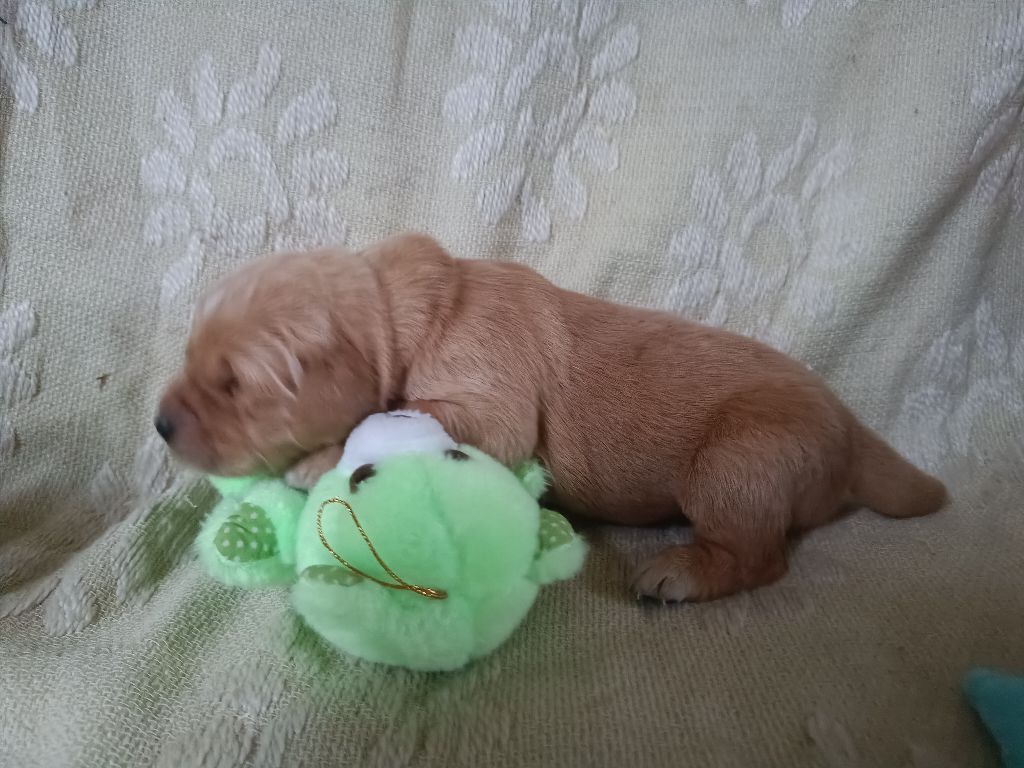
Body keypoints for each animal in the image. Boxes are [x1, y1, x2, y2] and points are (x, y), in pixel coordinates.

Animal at [156, 233, 947, 602]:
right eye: (189, 356)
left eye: (233, 385)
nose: (160, 424)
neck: (411, 313)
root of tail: (853, 430)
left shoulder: (490, 404)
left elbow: (401, 415)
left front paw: (316, 459)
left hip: (738, 462)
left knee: (763, 556)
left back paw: (682, 573)